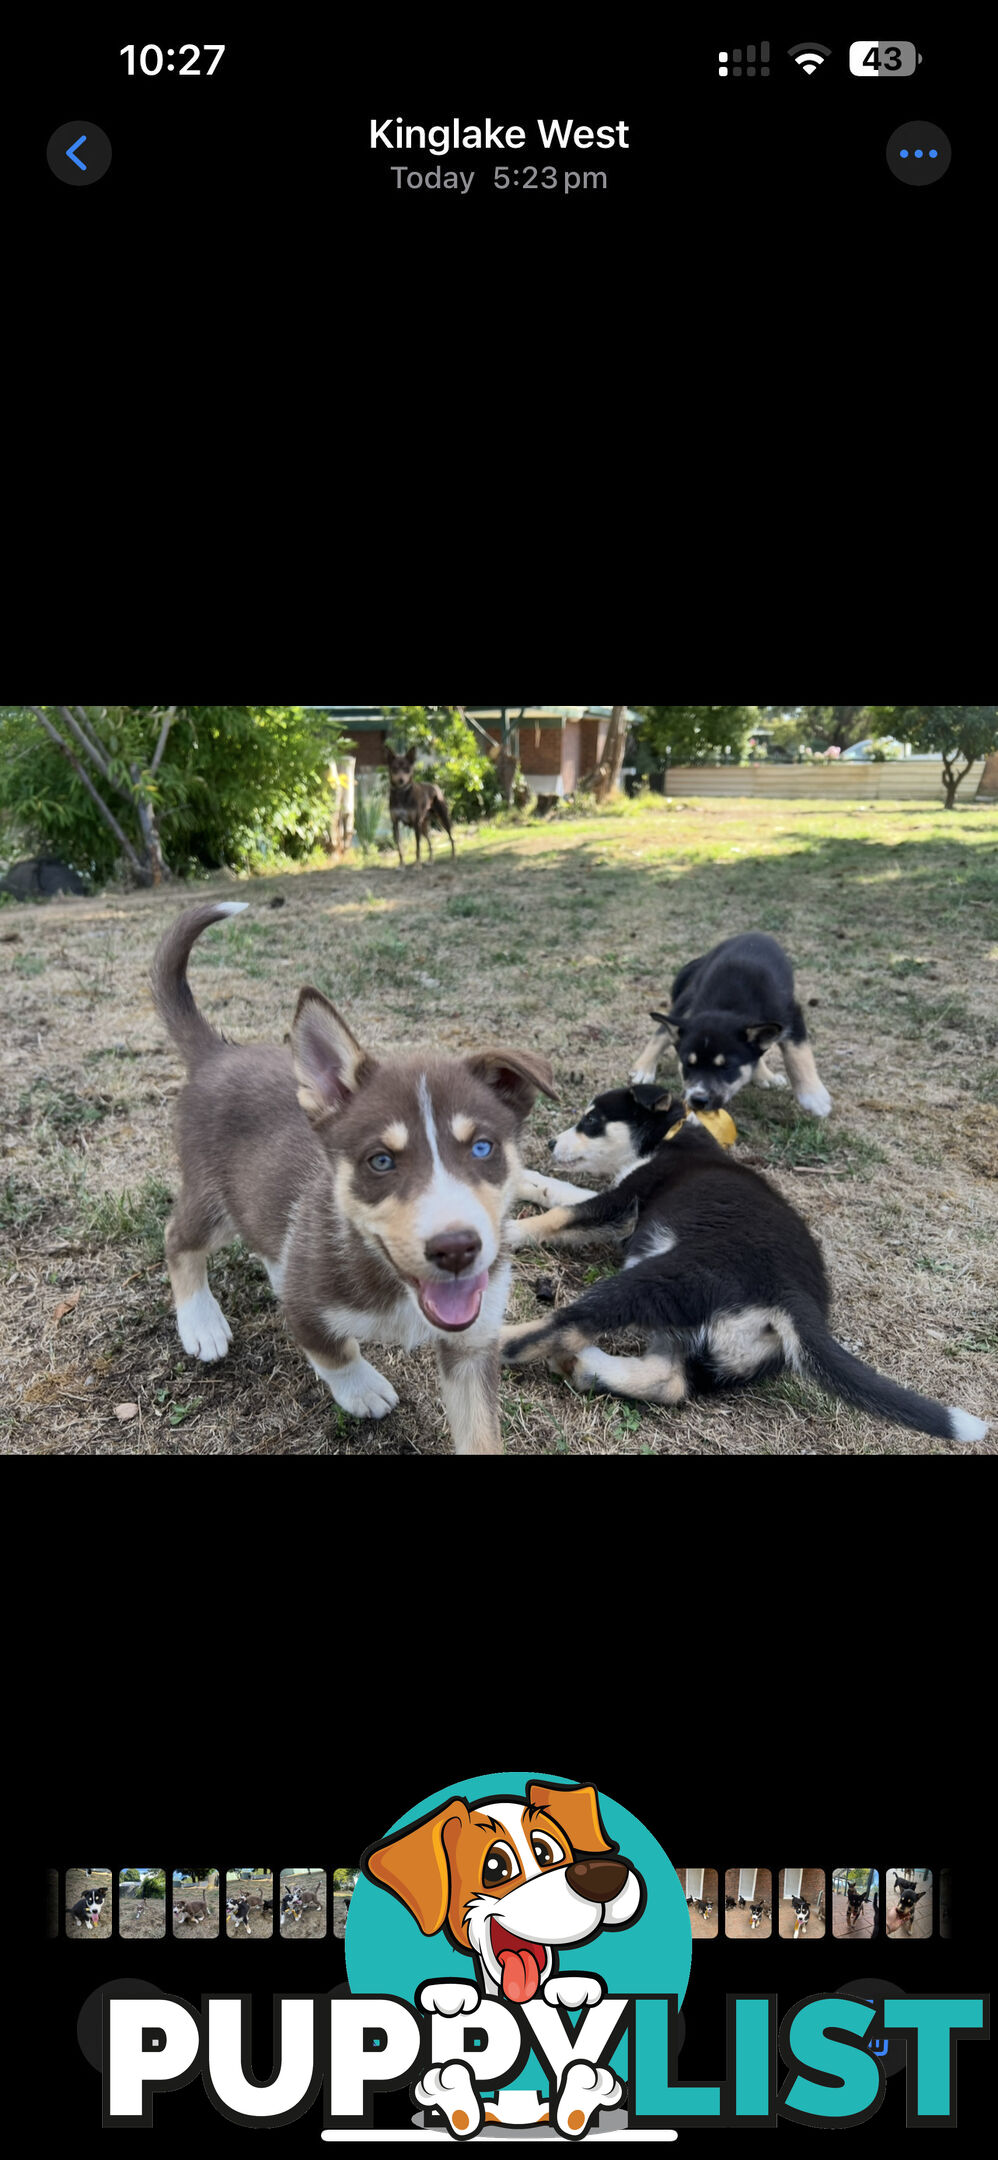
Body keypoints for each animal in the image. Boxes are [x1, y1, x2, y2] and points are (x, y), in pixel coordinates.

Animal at [149, 894, 557, 1451]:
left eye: (482, 1147)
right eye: (380, 1161)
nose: (456, 1249)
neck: (394, 1282)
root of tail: (218, 1053)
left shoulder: (474, 1343)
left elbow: (481, 1434)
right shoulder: (308, 1307)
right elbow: (333, 1350)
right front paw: (362, 1389)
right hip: (213, 1196)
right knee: (178, 1238)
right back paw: (201, 1322)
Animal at [630, 933, 833, 1123]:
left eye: (726, 1067)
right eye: (688, 1064)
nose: (698, 1100)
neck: (729, 1006)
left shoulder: (791, 1015)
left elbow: (798, 1055)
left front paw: (814, 1098)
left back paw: (765, 1076)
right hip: (688, 997)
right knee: (662, 1031)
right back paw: (643, 1068)